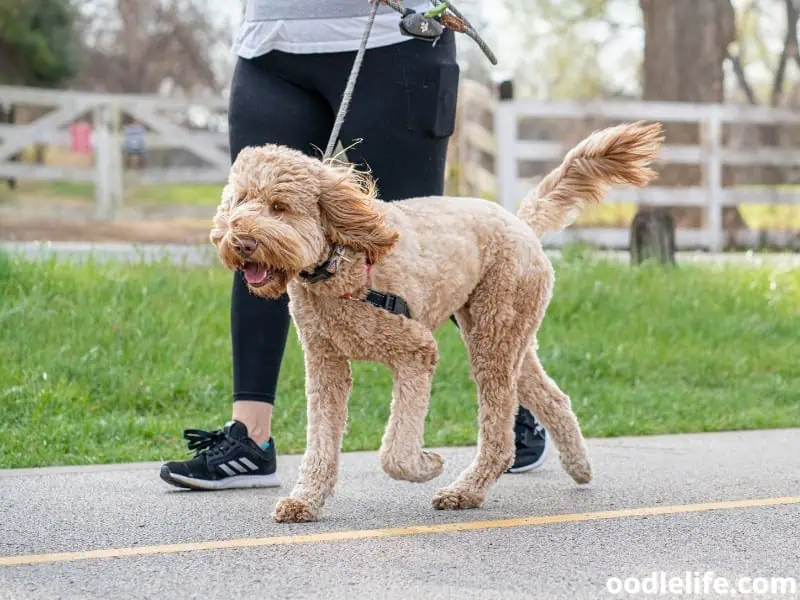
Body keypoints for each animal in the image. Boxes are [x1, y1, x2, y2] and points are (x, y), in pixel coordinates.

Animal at [211, 120, 664, 520]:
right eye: (240, 200)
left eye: (279, 207)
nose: (240, 241)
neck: (341, 263)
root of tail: (520, 223)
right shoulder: (326, 365)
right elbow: (321, 442)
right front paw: (305, 500)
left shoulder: (415, 351)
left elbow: (394, 451)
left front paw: (426, 465)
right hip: (504, 335)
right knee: (552, 398)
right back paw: (579, 466)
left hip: (494, 334)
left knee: (499, 434)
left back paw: (466, 491)